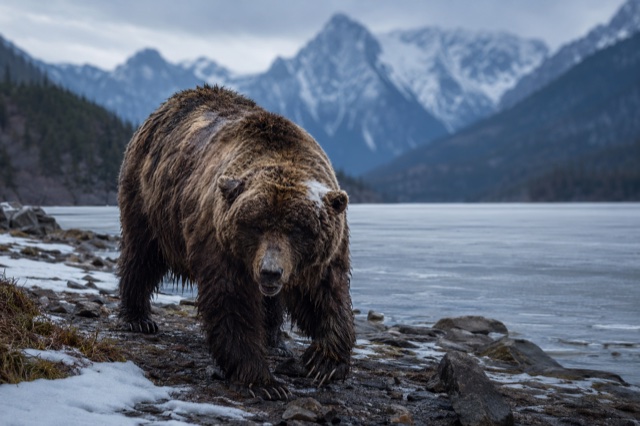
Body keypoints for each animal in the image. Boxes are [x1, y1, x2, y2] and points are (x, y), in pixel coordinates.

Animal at [117, 85, 355, 400]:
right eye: (255, 225)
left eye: (297, 230)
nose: (270, 271)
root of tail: (170, 102)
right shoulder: (221, 245)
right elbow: (231, 302)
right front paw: (264, 382)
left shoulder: (323, 254)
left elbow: (325, 294)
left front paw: (324, 361)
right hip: (148, 198)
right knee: (141, 254)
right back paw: (138, 318)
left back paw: (274, 340)